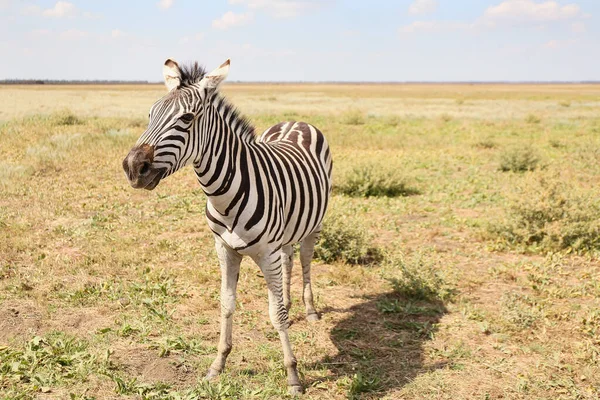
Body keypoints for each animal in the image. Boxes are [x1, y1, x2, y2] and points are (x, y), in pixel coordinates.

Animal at [122, 57, 332, 396]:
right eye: (151, 114)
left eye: (187, 118)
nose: (132, 167)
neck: (225, 195)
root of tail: (296, 120)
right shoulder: (224, 249)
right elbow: (226, 305)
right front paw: (218, 364)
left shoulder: (266, 254)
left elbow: (276, 314)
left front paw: (292, 375)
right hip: (288, 229)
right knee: (289, 260)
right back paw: (289, 301)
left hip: (313, 224)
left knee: (304, 261)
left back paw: (310, 310)